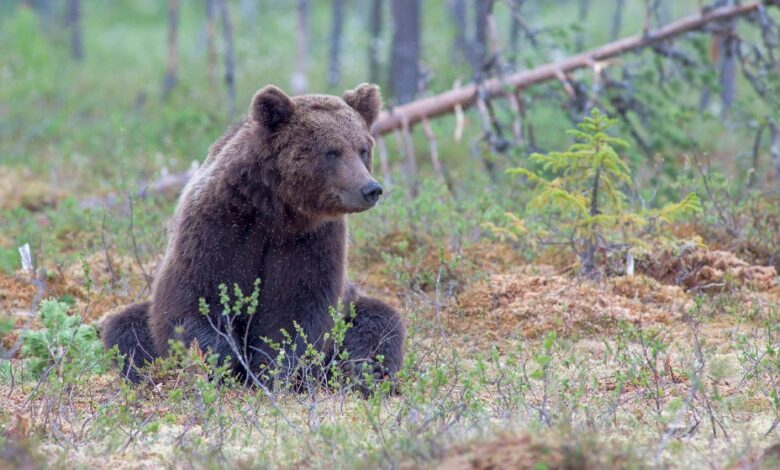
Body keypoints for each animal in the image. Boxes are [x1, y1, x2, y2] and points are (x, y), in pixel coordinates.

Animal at [101, 83, 405, 390]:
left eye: (363, 149)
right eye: (332, 151)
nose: (371, 188)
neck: (274, 208)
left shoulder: (311, 240)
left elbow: (297, 309)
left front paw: (274, 372)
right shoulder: (218, 226)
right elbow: (194, 298)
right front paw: (221, 363)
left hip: (352, 303)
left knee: (379, 323)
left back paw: (366, 373)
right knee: (126, 328)